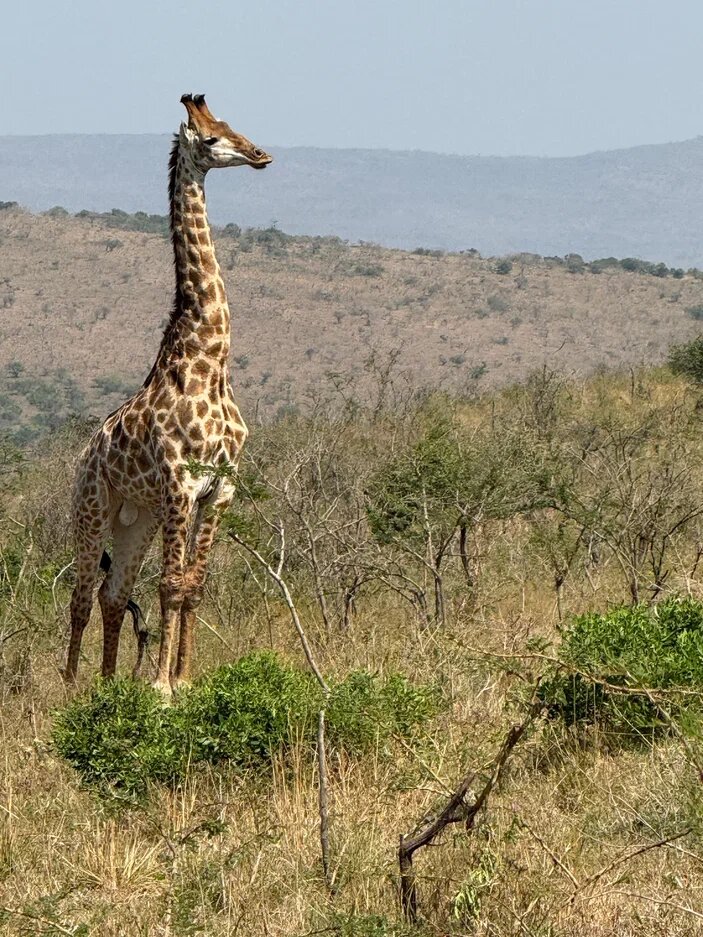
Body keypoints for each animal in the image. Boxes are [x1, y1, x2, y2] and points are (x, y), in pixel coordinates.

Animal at [64, 94, 272, 695]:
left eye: (230, 124)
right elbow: (170, 585)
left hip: (137, 517)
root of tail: (84, 454)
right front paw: (161, 689)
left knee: (113, 594)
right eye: (211, 138)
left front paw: (185, 679)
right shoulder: (182, 483)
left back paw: (109, 684)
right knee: (81, 596)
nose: (260, 154)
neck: (210, 361)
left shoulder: (221, 489)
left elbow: (192, 585)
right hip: (92, 507)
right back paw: (70, 687)